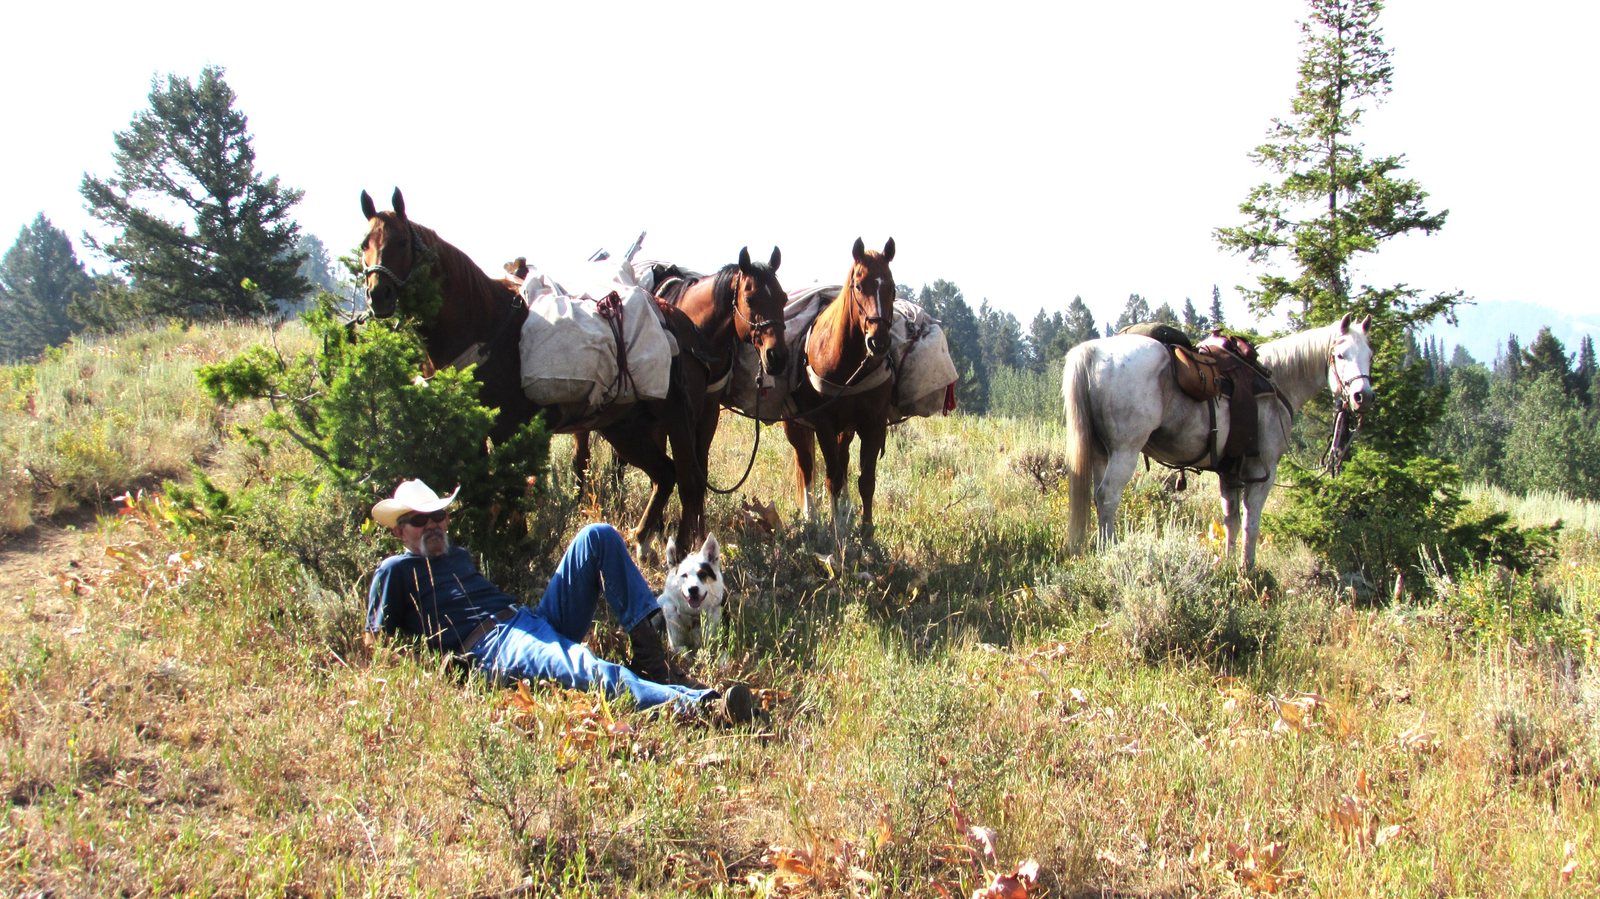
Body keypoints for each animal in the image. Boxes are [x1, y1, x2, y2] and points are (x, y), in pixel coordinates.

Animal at [359, 188, 790, 553]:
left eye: (401, 242)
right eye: (366, 245)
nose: (378, 294)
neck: (485, 325)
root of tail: (682, 329)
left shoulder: (507, 429)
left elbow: (509, 488)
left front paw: (516, 543)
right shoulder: (480, 432)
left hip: (675, 420)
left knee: (688, 479)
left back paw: (682, 550)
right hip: (625, 428)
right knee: (667, 474)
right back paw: (643, 537)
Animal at [780, 237, 897, 539]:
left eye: (892, 287)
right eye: (859, 285)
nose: (878, 341)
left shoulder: (872, 424)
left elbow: (866, 480)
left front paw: (866, 531)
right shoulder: (823, 424)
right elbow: (830, 475)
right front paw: (835, 530)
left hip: (847, 429)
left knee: (843, 463)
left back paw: (846, 510)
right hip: (796, 426)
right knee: (807, 465)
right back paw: (811, 515)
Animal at [1062, 314, 1373, 567]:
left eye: (1370, 355)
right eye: (1341, 355)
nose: (1363, 397)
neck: (1278, 384)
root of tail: (1094, 351)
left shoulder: (1229, 472)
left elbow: (1231, 520)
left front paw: (1228, 562)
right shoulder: (1263, 471)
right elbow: (1251, 522)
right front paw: (1247, 569)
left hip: (1102, 453)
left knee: (1098, 496)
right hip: (1125, 451)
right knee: (1108, 496)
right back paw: (1111, 552)